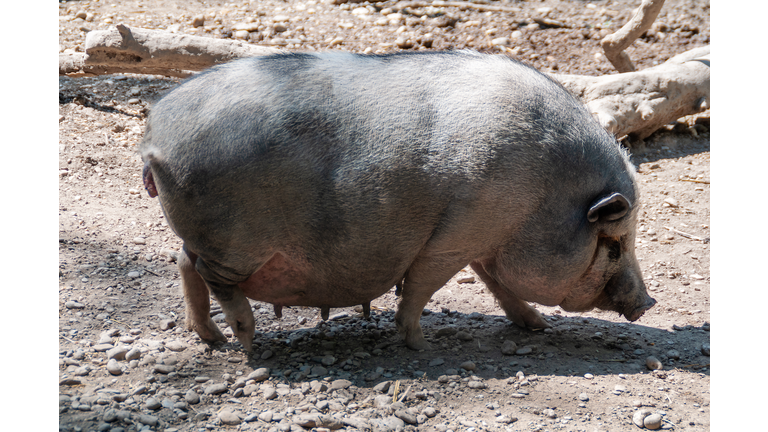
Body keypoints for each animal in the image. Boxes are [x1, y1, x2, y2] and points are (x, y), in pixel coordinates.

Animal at [140, 52, 656, 352]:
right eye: (613, 244)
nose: (648, 302)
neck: (544, 199)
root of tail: (155, 134)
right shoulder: (455, 238)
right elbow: (423, 287)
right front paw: (419, 347)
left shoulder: (480, 238)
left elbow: (498, 285)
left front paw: (538, 328)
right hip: (236, 244)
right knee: (209, 275)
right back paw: (246, 341)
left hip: (211, 239)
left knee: (183, 262)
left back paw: (210, 339)